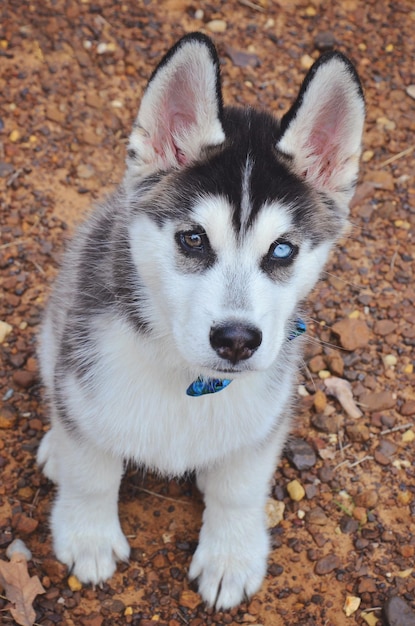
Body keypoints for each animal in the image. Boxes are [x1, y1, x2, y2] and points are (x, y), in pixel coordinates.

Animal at [37, 31, 366, 608]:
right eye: (193, 238)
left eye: (282, 250)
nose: (236, 339)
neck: (187, 377)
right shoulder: (83, 384)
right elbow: (91, 473)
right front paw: (88, 536)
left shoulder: (265, 416)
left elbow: (239, 490)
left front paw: (230, 556)